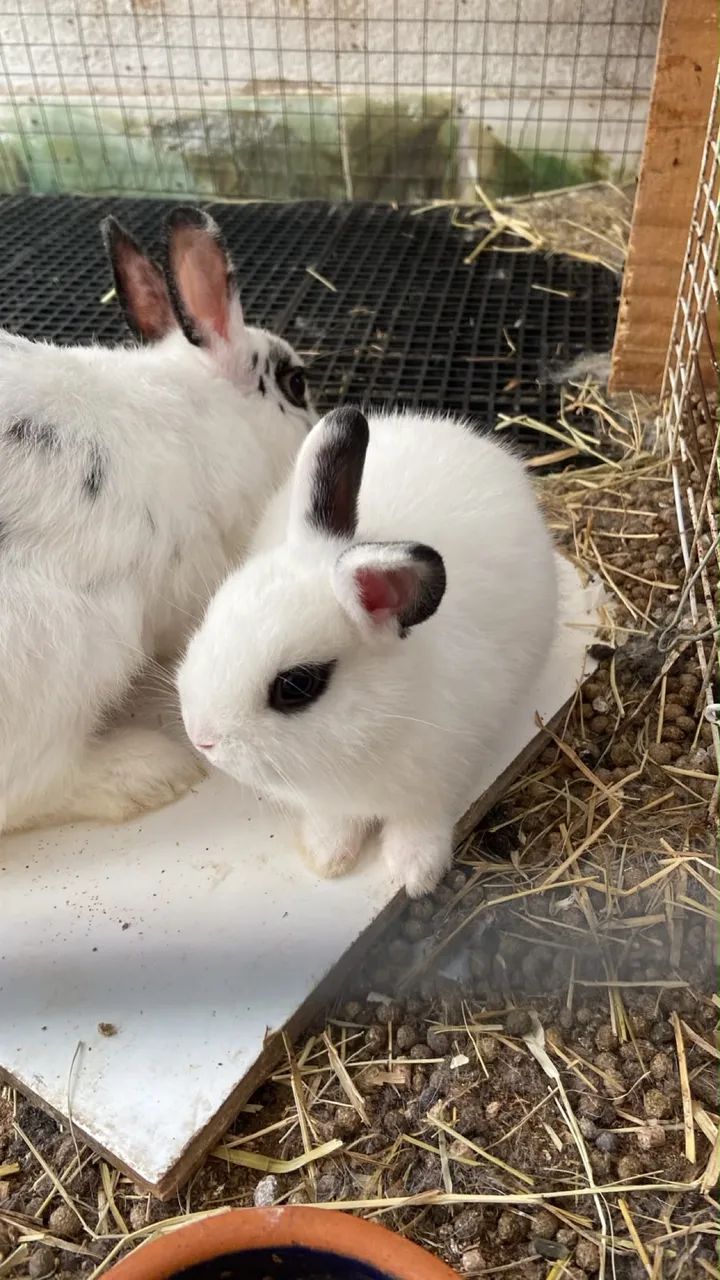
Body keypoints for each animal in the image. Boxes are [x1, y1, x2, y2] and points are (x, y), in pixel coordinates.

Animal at [177, 404, 558, 898]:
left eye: (296, 685)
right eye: (215, 611)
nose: (201, 738)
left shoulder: (440, 777)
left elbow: (420, 821)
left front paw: (416, 872)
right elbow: (334, 821)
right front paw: (327, 855)